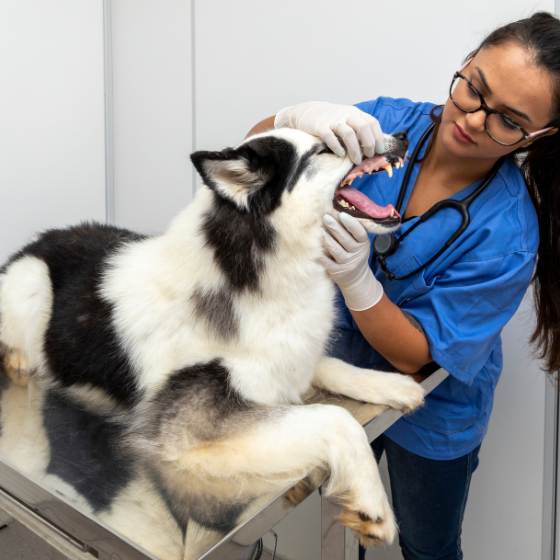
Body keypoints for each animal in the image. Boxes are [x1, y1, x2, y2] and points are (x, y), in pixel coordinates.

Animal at [0, 128, 420, 560]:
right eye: (325, 148)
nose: (402, 136)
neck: (252, 268)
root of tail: (38, 241)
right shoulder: (188, 427)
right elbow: (336, 418)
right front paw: (373, 501)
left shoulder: (290, 358)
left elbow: (334, 367)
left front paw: (393, 385)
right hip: (31, 283)